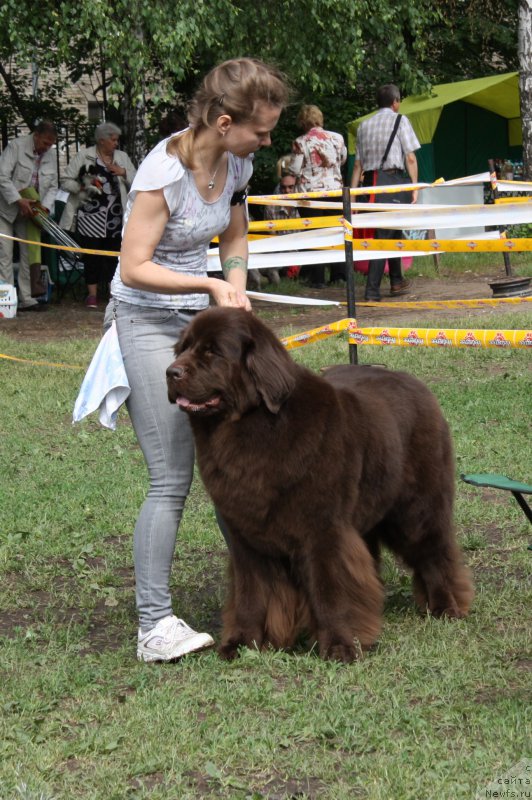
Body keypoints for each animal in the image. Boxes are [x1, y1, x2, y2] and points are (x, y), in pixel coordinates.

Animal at [166, 306, 474, 664]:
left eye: (213, 352)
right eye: (183, 348)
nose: (171, 372)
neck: (252, 430)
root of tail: (415, 384)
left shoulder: (324, 531)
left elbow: (331, 589)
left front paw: (340, 645)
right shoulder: (246, 538)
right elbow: (250, 593)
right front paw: (242, 643)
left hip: (416, 509)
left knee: (435, 553)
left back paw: (445, 606)